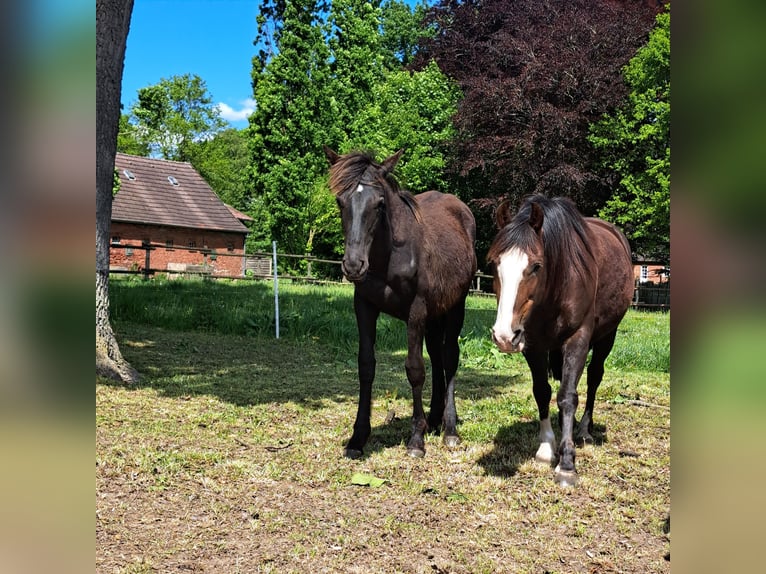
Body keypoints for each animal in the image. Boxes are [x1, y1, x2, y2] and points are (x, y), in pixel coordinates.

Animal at [324, 147, 477, 459]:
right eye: (340, 200)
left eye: (380, 204)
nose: (353, 265)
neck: (387, 257)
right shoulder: (364, 306)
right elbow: (366, 366)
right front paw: (358, 438)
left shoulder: (416, 310)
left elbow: (415, 369)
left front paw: (416, 440)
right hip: (435, 316)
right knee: (438, 358)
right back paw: (435, 419)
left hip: (455, 306)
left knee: (450, 357)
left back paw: (449, 429)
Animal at [487, 194, 633, 486]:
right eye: (495, 264)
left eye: (536, 266)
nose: (504, 336)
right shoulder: (532, 344)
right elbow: (542, 391)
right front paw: (546, 448)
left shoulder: (577, 339)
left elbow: (567, 396)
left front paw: (566, 463)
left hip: (606, 336)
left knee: (593, 377)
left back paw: (584, 430)